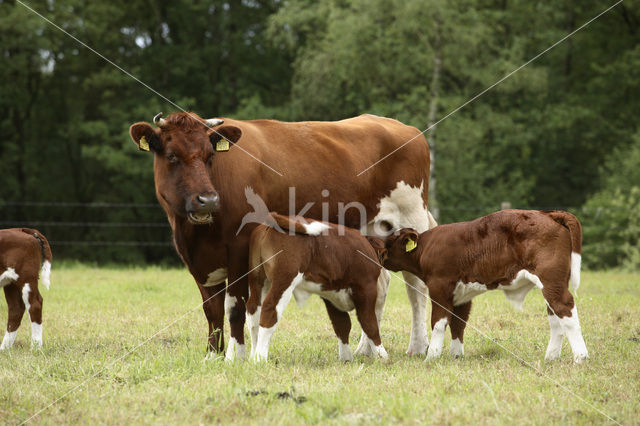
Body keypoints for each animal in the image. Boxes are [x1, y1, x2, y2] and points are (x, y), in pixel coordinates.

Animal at [246, 211, 390, 362]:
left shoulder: (332, 294)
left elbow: (342, 324)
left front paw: (346, 358)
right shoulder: (366, 288)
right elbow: (369, 323)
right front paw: (383, 357)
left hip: (258, 279)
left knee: (253, 311)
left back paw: (252, 357)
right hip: (284, 279)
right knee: (269, 309)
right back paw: (260, 359)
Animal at [380, 210, 592, 362]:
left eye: (389, 243)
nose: (379, 253)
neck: (427, 247)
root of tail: (547, 213)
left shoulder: (440, 287)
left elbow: (438, 323)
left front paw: (432, 356)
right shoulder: (461, 294)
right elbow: (458, 323)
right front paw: (456, 355)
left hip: (552, 282)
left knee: (565, 309)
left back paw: (580, 357)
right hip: (553, 284)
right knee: (555, 318)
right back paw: (551, 357)